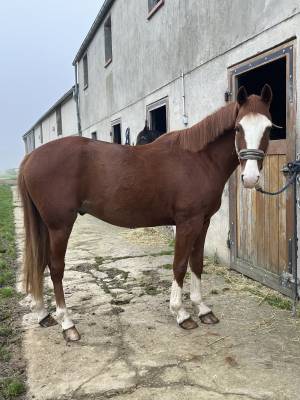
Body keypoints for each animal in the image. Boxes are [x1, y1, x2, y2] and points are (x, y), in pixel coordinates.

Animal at [18, 84, 274, 340]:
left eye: (269, 128)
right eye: (238, 127)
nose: (251, 178)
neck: (199, 159)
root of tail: (31, 157)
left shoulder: (203, 223)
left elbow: (197, 263)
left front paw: (202, 309)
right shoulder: (187, 223)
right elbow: (179, 265)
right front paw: (181, 313)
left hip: (46, 226)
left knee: (40, 262)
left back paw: (43, 314)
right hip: (60, 226)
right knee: (55, 268)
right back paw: (67, 324)